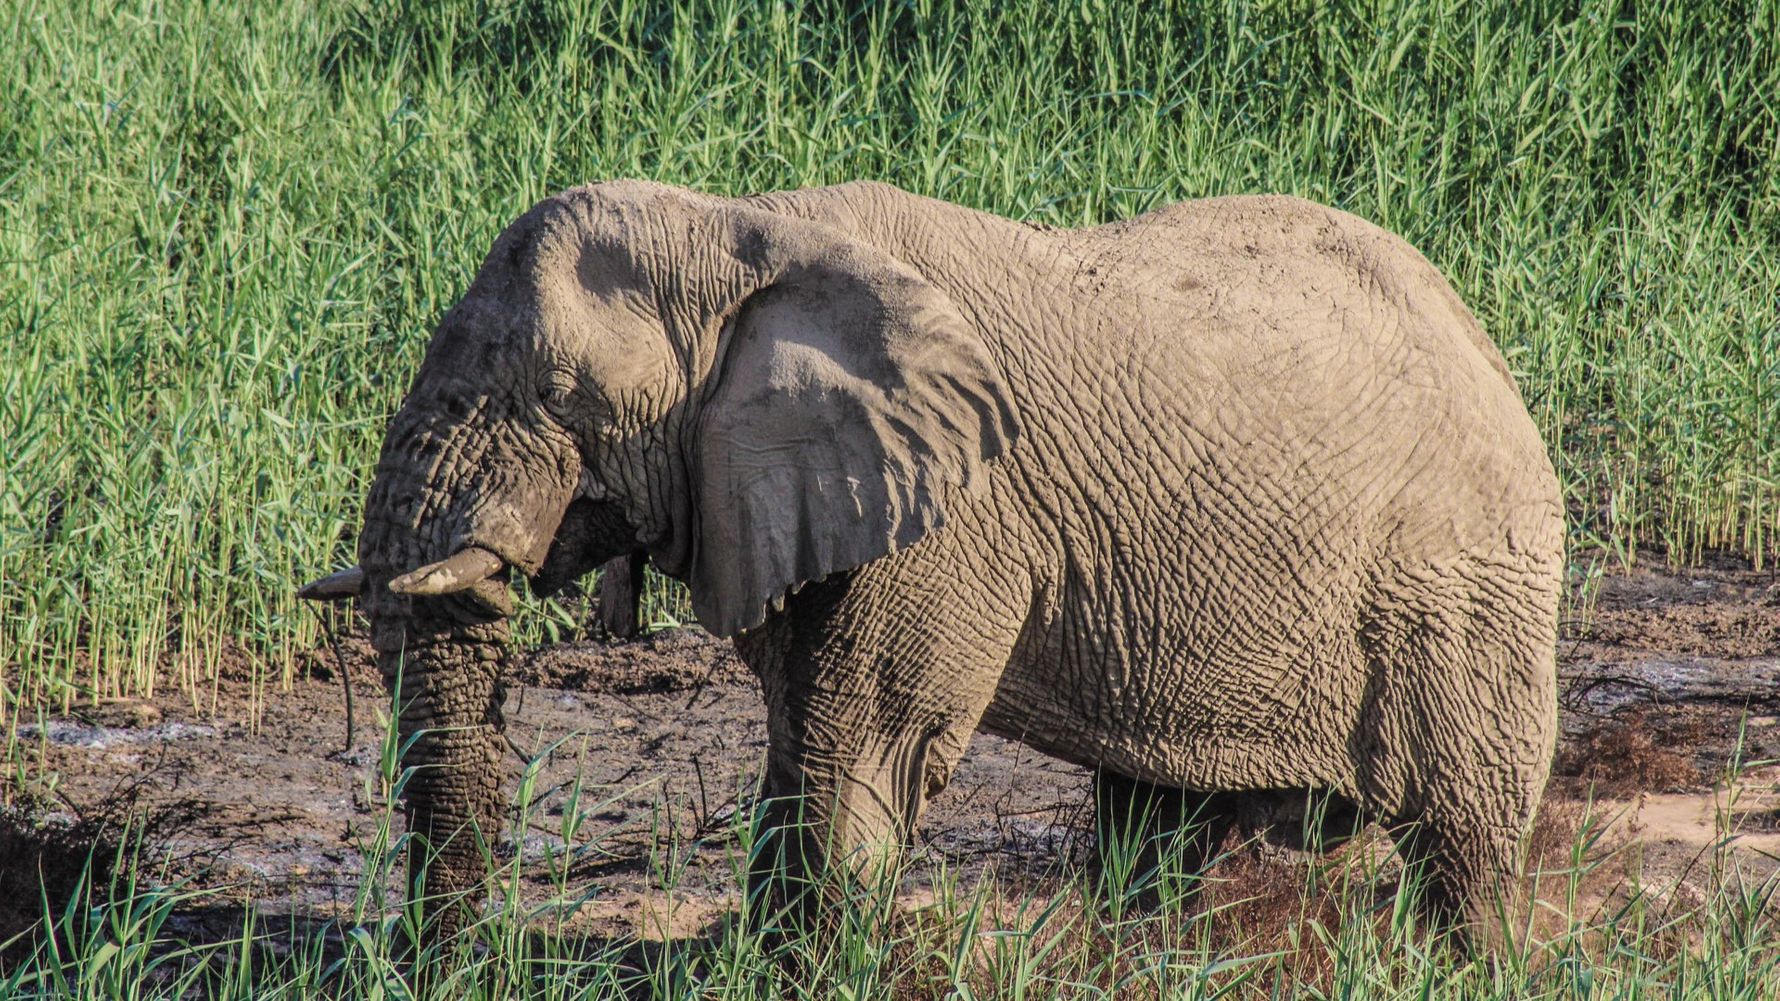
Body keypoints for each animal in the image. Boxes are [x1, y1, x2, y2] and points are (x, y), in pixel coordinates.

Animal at [299, 179, 1562, 938]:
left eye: (562, 400)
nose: (463, 959)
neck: (738, 230)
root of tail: (1484, 343)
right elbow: (804, 740)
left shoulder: (953, 514)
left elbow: (862, 750)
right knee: (1164, 830)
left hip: (1460, 585)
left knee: (1462, 836)